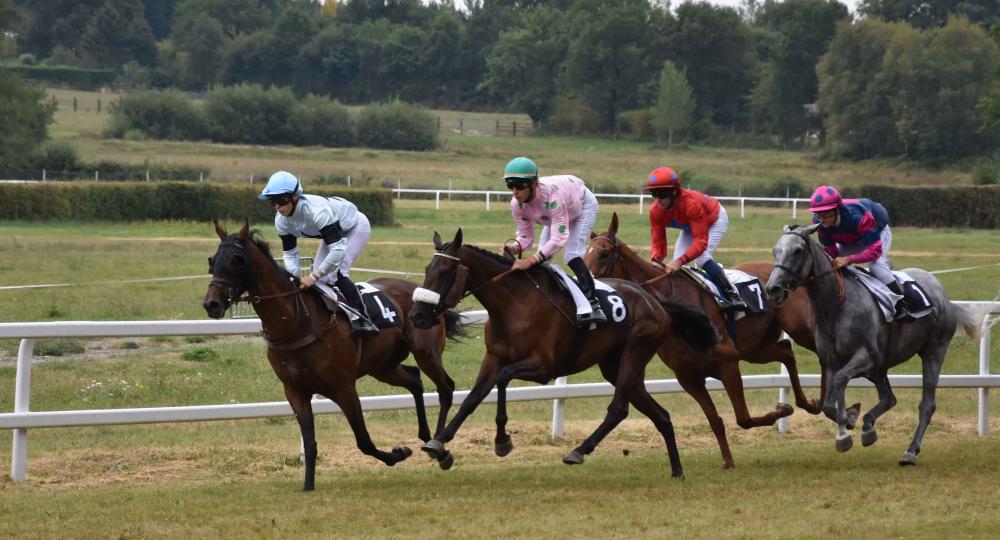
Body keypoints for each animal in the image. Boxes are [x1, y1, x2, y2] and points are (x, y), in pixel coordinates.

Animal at [204, 221, 468, 492]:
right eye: (212, 259)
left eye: (236, 260)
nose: (211, 304)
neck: (298, 322)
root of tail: (423, 293)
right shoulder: (295, 391)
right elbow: (310, 443)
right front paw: (308, 485)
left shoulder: (344, 388)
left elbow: (364, 441)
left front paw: (397, 454)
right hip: (382, 366)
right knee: (415, 380)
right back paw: (426, 436)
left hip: (426, 353)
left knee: (445, 387)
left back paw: (440, 448)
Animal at [410, 228, 724, 476]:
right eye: (426, 269)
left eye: (446, 271)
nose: (417, 316)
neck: (514, 304)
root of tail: (655, 301)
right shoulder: (493, 358)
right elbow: (473, 398)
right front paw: (439, 442)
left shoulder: (544, 365)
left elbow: (503, 378)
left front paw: (502, 441)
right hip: (615, 366)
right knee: (661, 415)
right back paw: (677, 470)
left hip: (635, 351)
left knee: (618, 409)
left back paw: (579, 451)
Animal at [584, 212, 820, 468]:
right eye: (585, 253)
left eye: (604, 253)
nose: (584, 287)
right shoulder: (689, 377)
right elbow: (715, 420)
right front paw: (728, 461)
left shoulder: (728, 362)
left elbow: (743, 418)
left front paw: (780, 411)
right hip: (755, 349)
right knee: (787, 351)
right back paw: (809, 403)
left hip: (799, 330)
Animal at [764, 224, 984, 464]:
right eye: (775, 250)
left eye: (797, 251)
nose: (773, 289)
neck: (837, 306)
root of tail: (943, 294)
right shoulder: (831, 362)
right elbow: (828, 406)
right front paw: (850, 418)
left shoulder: (865, 357)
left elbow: (840, 380)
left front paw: (844, 432)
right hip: (880, 366)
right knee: (889, 398)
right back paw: (869, 427)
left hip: (933, 352)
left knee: (927, 405)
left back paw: (910, 450)